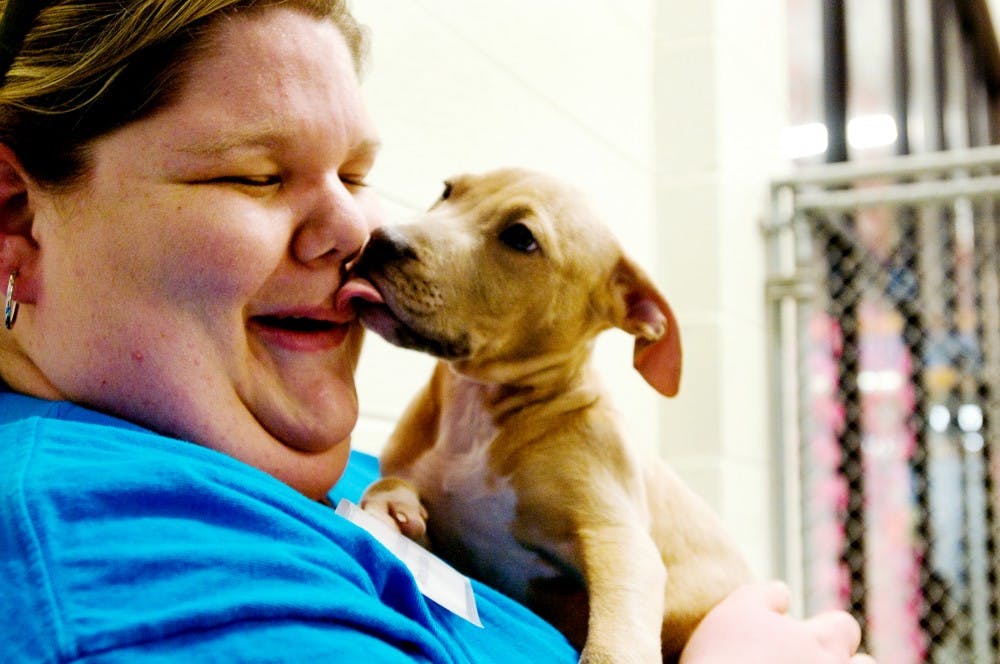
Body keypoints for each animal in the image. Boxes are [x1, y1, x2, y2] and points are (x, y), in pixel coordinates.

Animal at [344, 169, 752, 660]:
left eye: (521, 237)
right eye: (447, 191)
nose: (380, 239)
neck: (475, 416)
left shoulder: (619, 539)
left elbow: (616, 640)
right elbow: (391, 488)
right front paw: (393, 508)